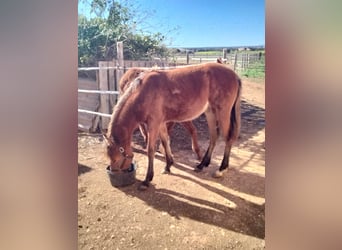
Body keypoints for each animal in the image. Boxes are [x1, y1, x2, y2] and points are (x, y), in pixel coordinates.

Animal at [104, 62, 240, 189]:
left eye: (115, 159)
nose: (114, 173)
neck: (144, 93)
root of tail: (234, 74)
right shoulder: (161, 123)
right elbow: (165, 142)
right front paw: (168, 165)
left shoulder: (153, 124)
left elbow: (150, 150)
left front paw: (147, 179)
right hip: (210, 112)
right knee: (214, 137)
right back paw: (201, 165)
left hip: (223, 112)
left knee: (228, 138)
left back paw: (221, 169)